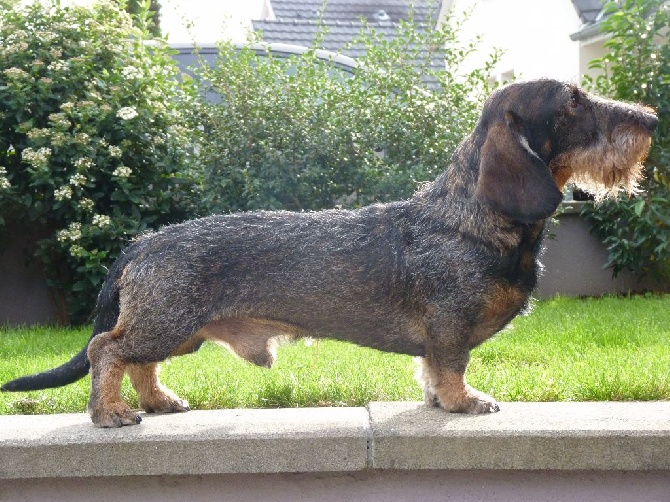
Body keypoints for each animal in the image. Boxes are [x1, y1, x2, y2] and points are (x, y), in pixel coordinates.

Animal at [1, 79, 660, 428]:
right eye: (572, 101)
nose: (652, 118)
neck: (468, 219)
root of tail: (144, 241)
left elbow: (430, 370)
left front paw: (439, 400)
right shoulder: (449, 327)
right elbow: (450, 366)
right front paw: (462, 402)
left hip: (177, 331)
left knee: (139, 361)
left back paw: (158, 401)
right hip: (165, 321)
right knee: (105, 350)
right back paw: (109, 412)